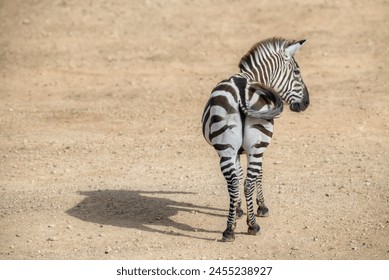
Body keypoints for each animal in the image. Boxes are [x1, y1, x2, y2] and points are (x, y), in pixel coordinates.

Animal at [202, 37, 308, 243]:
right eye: (297, 72)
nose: (306, 103)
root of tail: (241, 91)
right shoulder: (256, 149)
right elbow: (258, 174)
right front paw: (261, 207)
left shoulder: (236, 151)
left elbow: (238, 174)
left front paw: (237, 209)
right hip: (258, 145)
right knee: (248, 182)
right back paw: (253, 226)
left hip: (225, 148)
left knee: (234, 183)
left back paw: (229, 229)